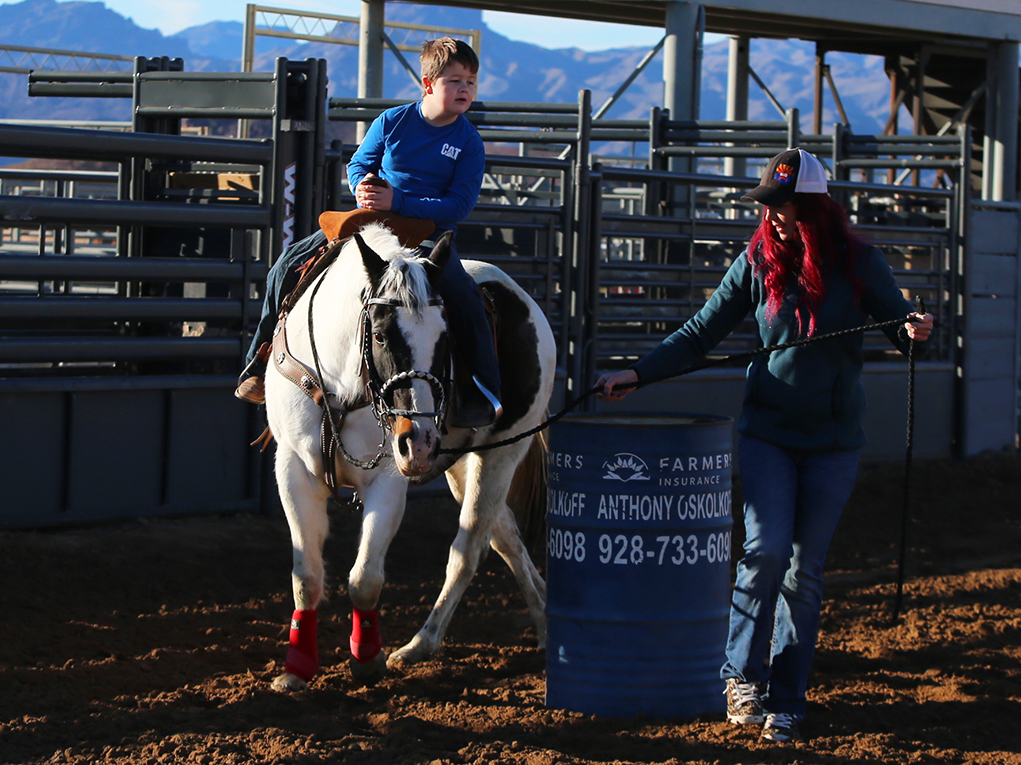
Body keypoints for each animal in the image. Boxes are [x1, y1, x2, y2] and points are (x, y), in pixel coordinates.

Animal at [259, 217, 555, 690]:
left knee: (469, 549)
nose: (418, 440)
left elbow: (365, 578)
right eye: (379, 335)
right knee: (506, 536)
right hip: (459, 464)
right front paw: (296, 668)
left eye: (447, 339)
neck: (343, 387)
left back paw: (420, 645)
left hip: (501, 454)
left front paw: (367, 659)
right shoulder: (293, 468)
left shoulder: (388, 479)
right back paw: (545, 620)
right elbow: (306, 576)